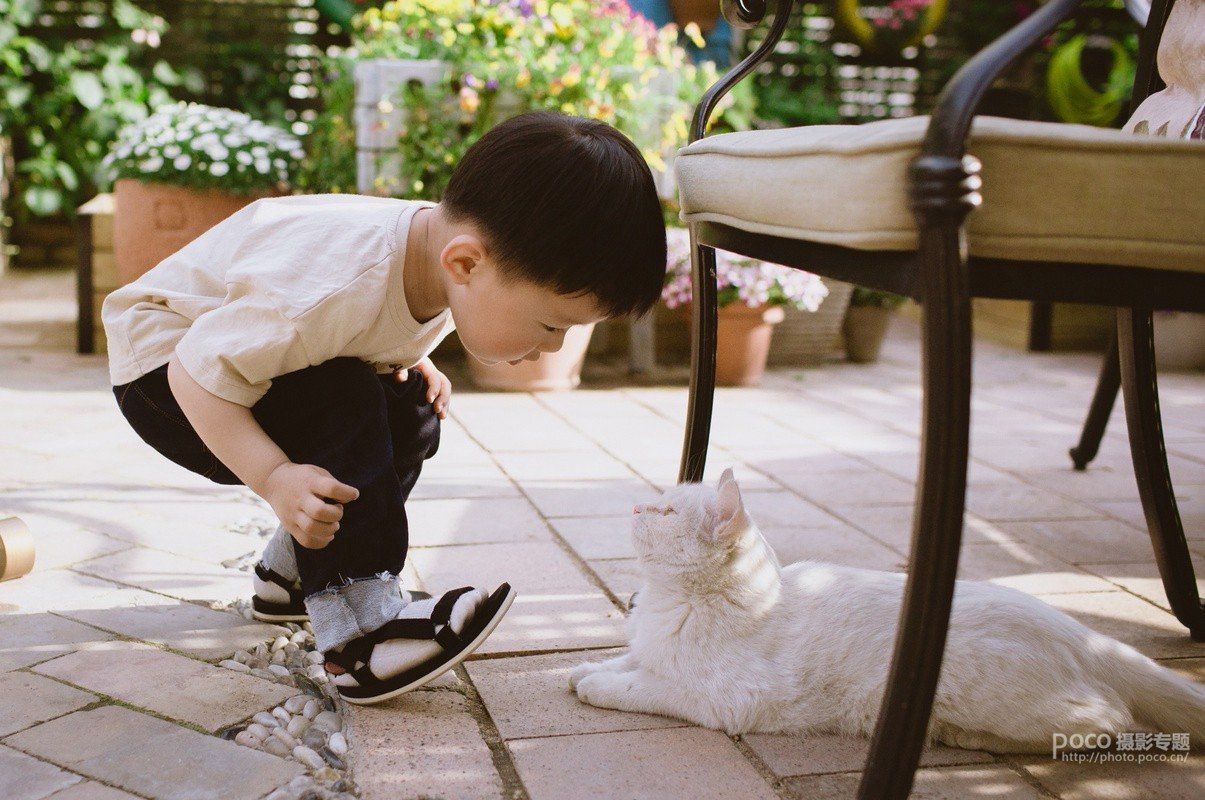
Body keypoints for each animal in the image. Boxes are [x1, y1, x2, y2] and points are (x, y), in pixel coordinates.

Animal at [570, 469, 1205, 752]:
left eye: (666, 510)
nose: (636, 505)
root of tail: (1083, 635)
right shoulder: (653, 653)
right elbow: (629, 663)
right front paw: (587, 670)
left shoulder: (723, 699)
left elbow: (643, 687)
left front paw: (599, 686)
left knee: (1107, 724)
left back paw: (969, 737)